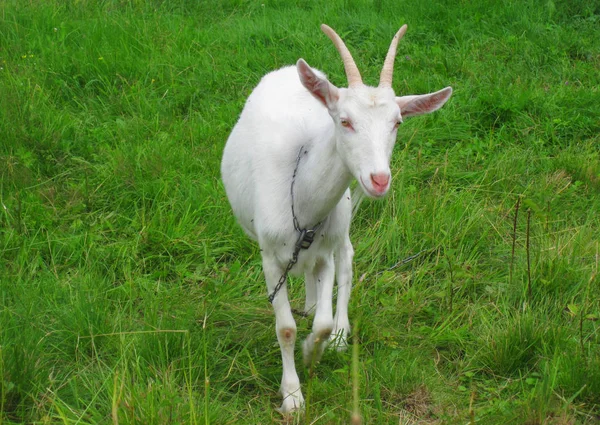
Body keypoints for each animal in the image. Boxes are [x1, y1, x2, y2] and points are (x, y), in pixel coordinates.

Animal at [223, 22, 452, 410]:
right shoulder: (270, 259)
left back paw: (341, 332)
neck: (301, 200)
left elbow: (323, 323)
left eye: (397, 122)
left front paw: (313, 352)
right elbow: (285, 327)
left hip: (341, 218)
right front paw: (293, 396)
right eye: (344, 120)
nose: (379, 179)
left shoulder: (324, 249)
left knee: (346, 257)